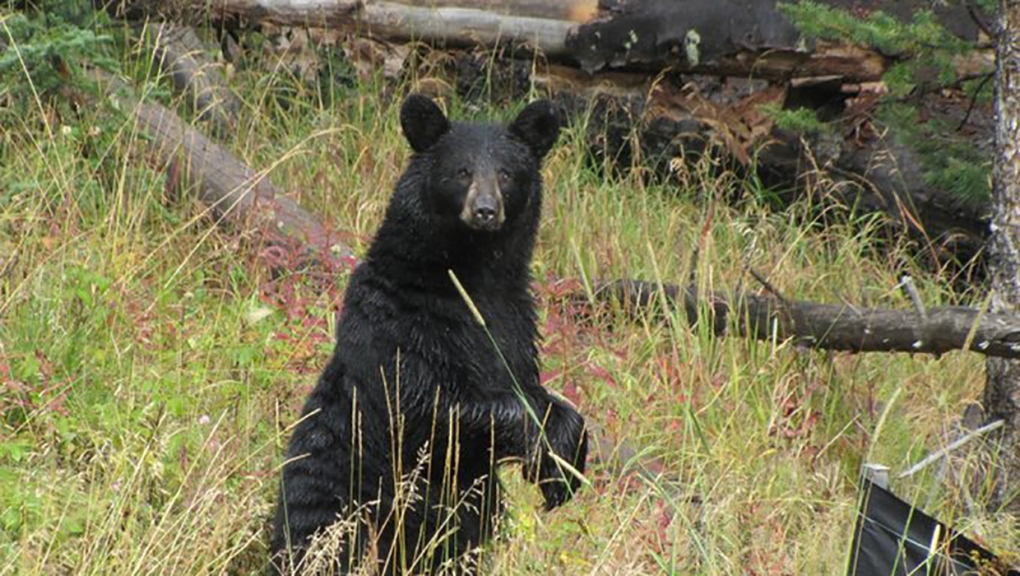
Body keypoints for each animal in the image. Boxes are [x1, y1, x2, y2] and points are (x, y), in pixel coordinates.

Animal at [271, 95, 591, 574]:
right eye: (461, 171)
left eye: (507, 173)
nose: (485, 210)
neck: (474, 276)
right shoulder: (402, 322)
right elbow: (427, 403)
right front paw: (543, 444)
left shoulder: (516, 327)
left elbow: (525, 385)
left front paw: (563, 465)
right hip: (338, 508)